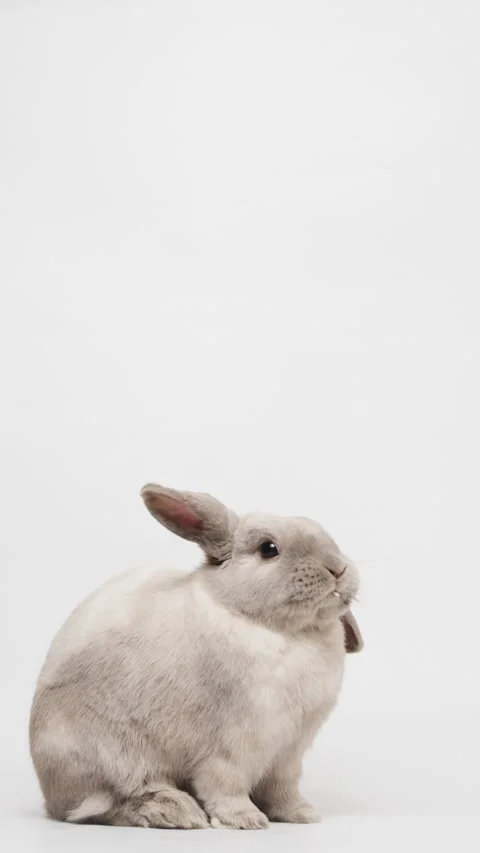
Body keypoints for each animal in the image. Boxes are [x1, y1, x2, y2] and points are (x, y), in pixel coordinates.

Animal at [29, 483, 363, 830]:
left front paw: (301, 814)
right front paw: (245, 820)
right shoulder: (229, 746)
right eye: (268, 548)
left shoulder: (287, 754)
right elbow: (225, 784)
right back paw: (175, 811)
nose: (338, 568)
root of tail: (50, 798)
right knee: (109, 803)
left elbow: (282, 790)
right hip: (111, 759)